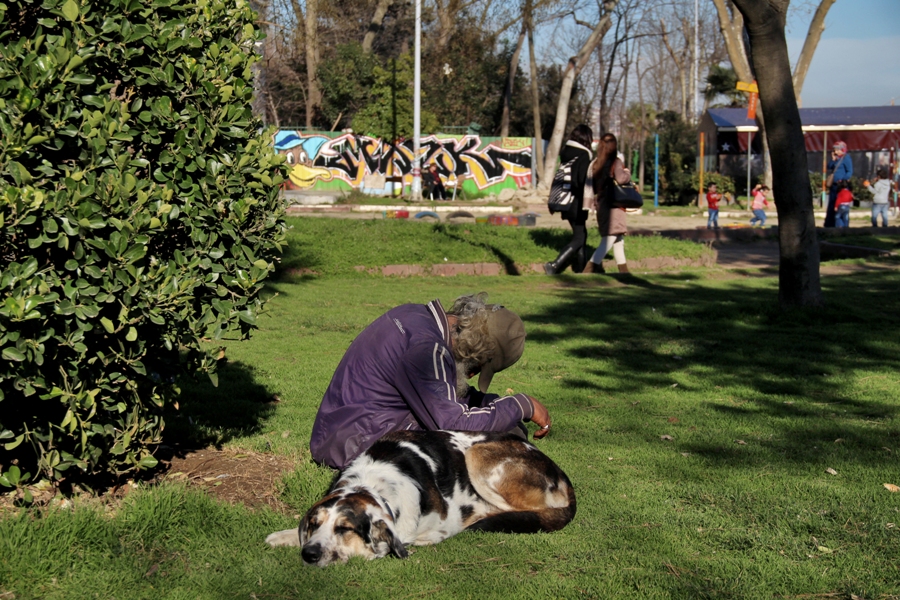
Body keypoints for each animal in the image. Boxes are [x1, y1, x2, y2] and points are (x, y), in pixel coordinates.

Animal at [268, 428, 576, 564]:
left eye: (344, 529)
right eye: (314, 524)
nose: (309, 554)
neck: (374, 483)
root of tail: (561, 472)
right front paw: (283, 536)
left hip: (477, 456)